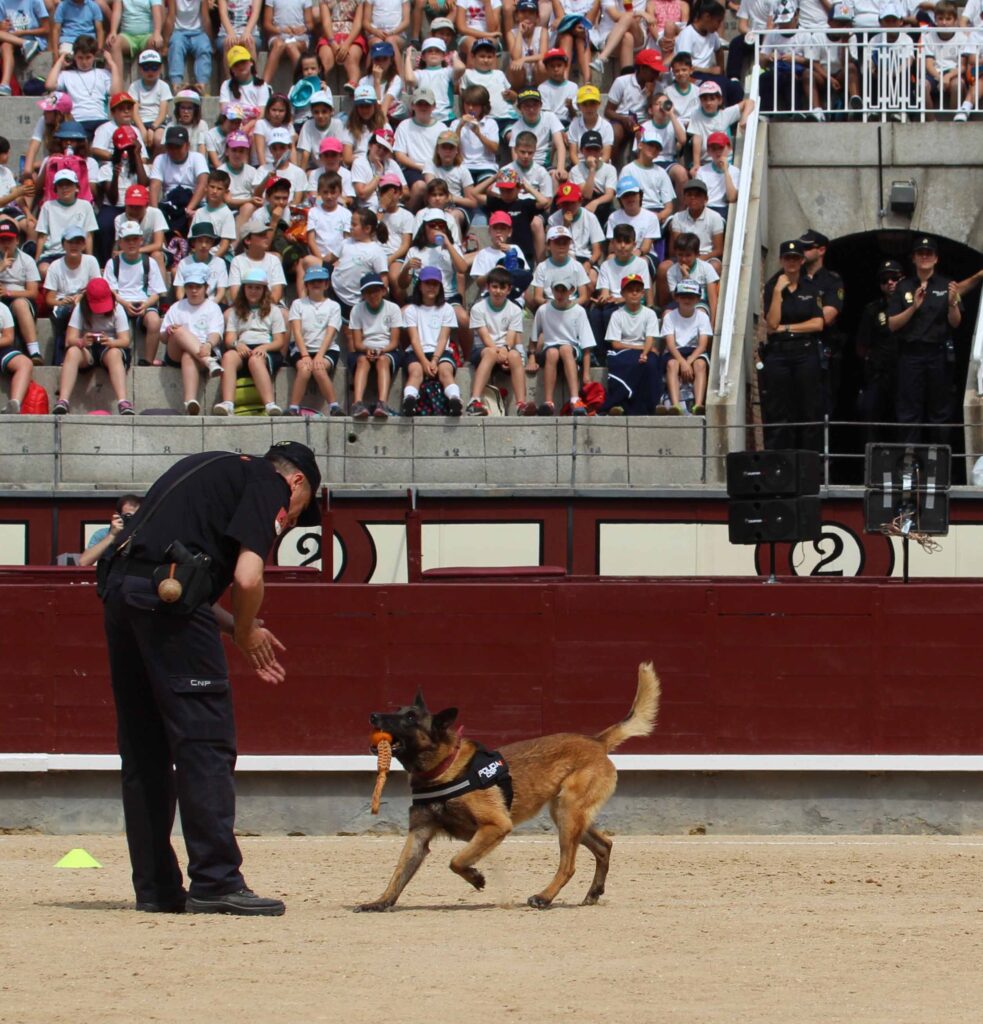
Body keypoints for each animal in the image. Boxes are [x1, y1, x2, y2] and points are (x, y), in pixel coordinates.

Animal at [352, 663, 659, 913]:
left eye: (411, 718)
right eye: (398, 711)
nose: (373, 716)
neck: (442, 769)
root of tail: (596, 741)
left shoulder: (495, 825)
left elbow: (456, 860)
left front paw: (476, 877)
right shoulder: (418, 835)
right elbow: (399, 874)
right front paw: (380, 901)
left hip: (568, 814)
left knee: (569, 865)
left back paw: (544, 897)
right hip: (568, 816)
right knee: (604, 846)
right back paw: (593, 892)